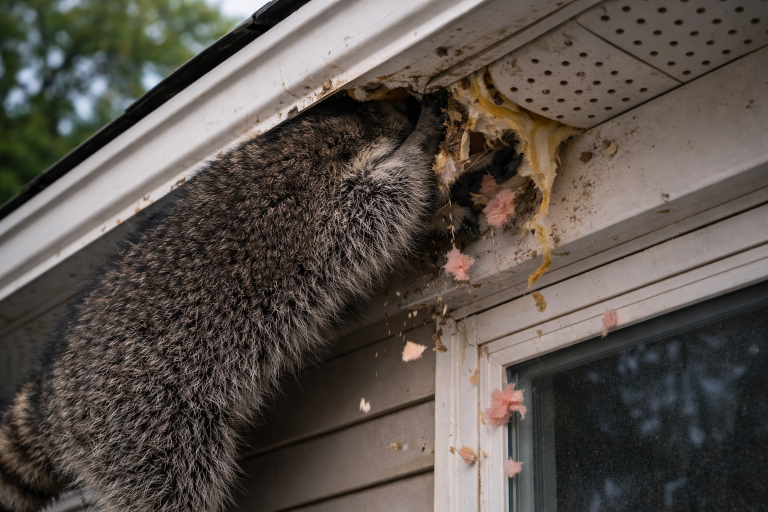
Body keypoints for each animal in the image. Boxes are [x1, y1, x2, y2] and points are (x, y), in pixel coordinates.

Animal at [0, 92, 446, 512]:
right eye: (382, 108)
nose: (410, 103)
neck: (320, 132)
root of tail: (46, 394)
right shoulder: (302, 209)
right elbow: (375, 208)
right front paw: (418, 145)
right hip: (138, 422)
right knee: (168, 484)